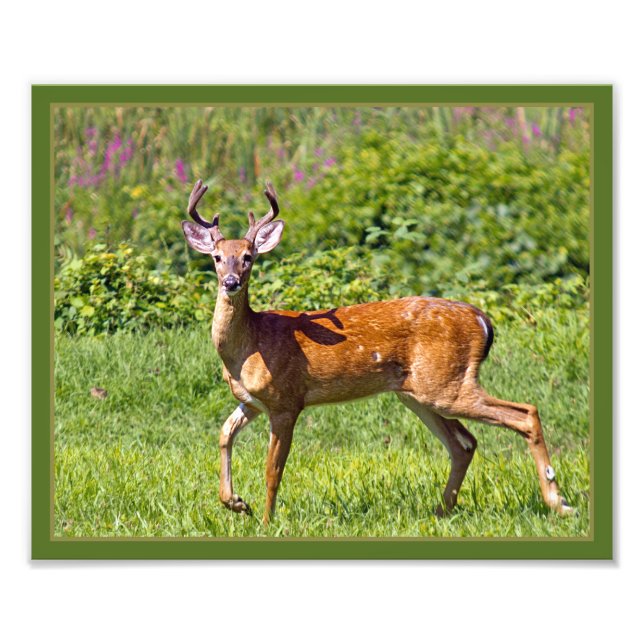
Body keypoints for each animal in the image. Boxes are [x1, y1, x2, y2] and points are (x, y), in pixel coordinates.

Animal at [181, 179, 573, 525]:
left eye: (248, 257)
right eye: (217, 257)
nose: (231, 282)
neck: (250, 346)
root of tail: (483, 320)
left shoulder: (286, 401)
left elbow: (272, 469)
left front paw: (265, 521)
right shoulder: (251, 401)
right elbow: (224, 434)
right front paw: (235, 503)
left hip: (446, 384)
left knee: (524, 412)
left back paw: (558, 503)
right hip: (420, 392)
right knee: (464, 443)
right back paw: (441, 511)